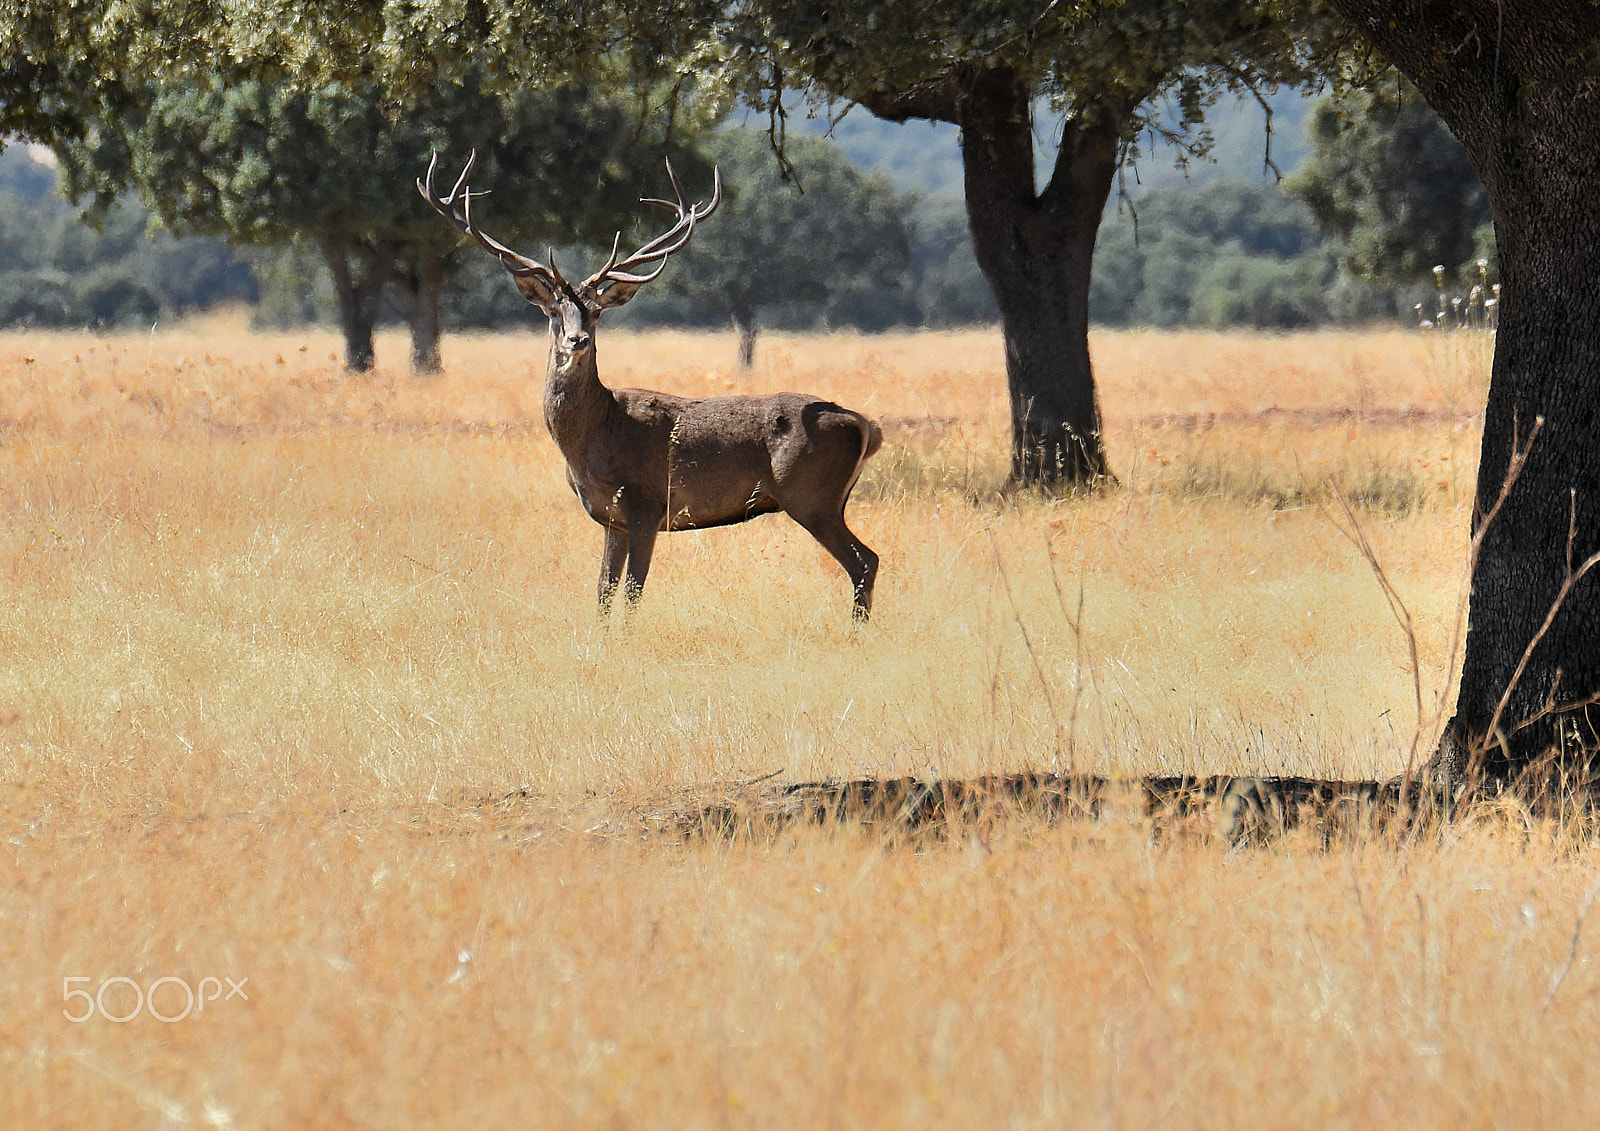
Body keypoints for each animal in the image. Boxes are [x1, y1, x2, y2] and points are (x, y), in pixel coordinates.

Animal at [417, 152, 884, 620]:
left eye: (596, 312)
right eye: (553, 311)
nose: (576, 340)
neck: (597, 437)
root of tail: (866, 426)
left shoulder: (647, 503)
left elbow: (632, 590)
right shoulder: (612, 518)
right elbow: (603, 591)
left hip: (810, 494)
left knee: (864, 560)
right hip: (825, 499)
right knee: (867, 559)